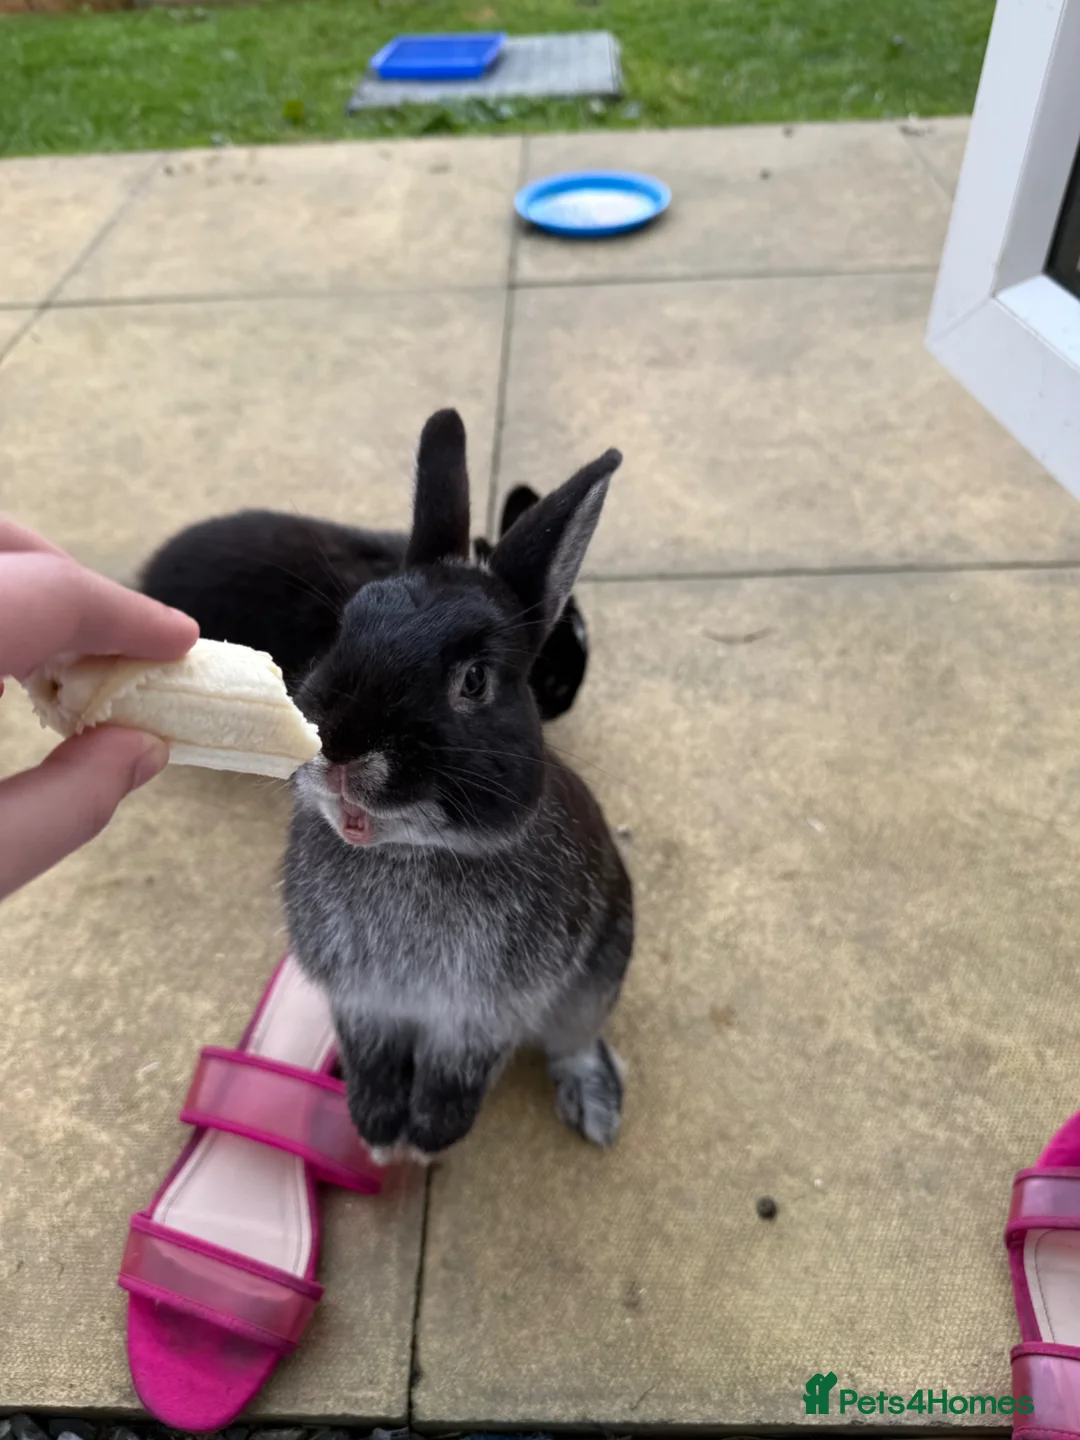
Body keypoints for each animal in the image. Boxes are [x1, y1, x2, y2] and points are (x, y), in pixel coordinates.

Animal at [283, 409, 633, 1160]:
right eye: (347, 626)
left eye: (474, 681)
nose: (339, 744)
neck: (410, 852)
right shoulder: (364, 1005)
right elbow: (373, 1062)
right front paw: (377, 1131)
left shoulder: (481, 1016)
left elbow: (457, 1074)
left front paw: (423, 1141)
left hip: (597, 976)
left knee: (575, 1042)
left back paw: (596, 1108)